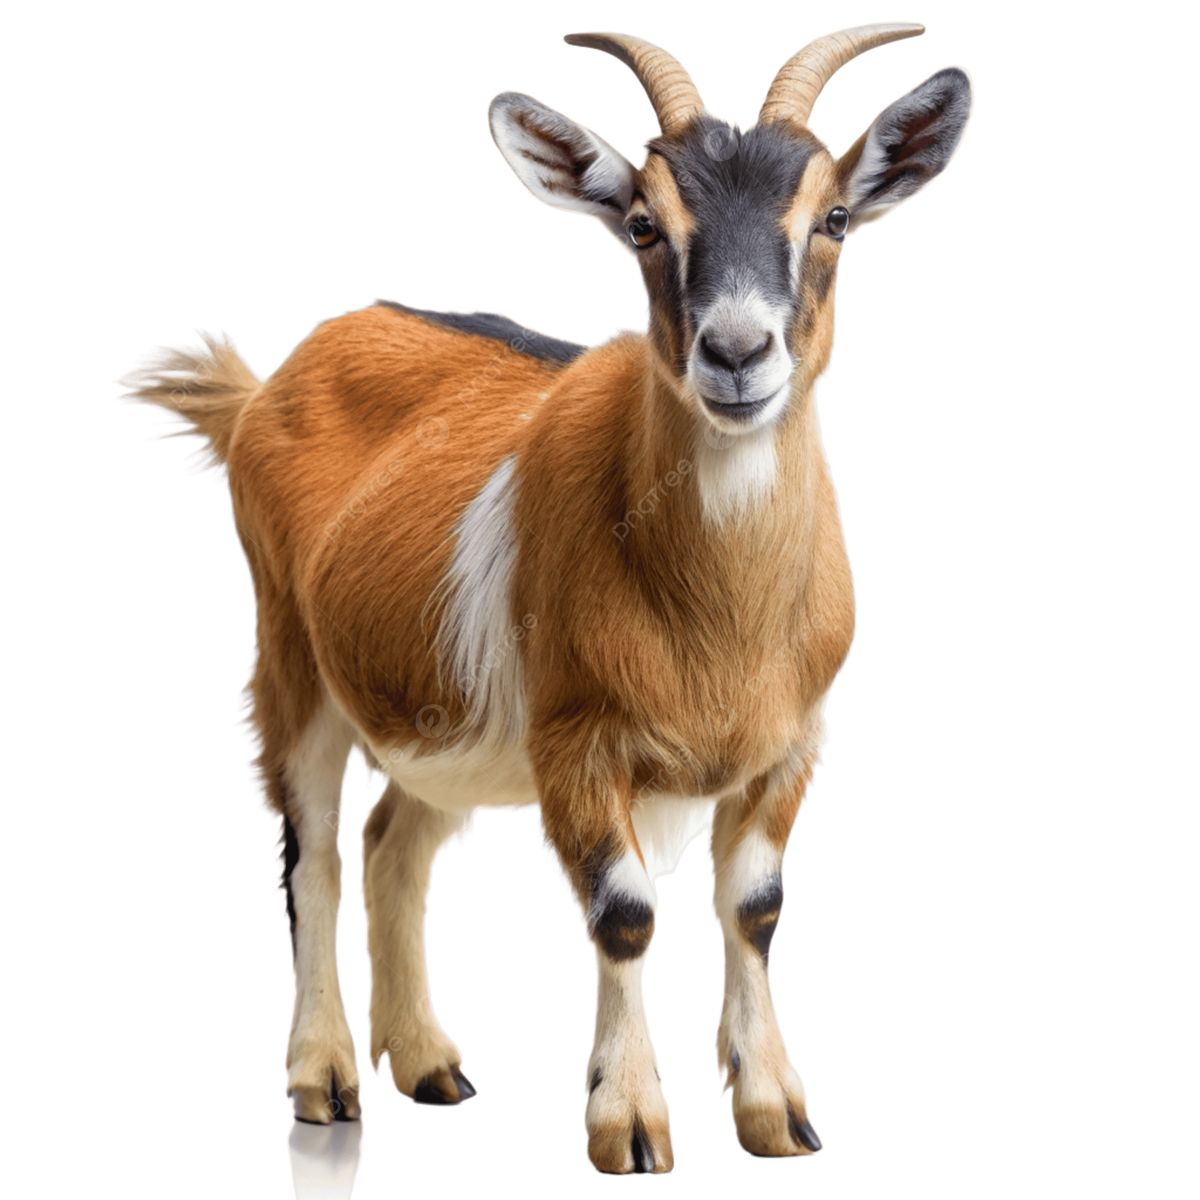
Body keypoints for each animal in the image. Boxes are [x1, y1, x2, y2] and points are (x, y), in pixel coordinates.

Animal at [129, 26, 970, 1173]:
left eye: (833, 216)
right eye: (644, 223)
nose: (736, 354)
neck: (719, 619)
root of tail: (261, 391)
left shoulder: (791, 742)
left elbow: (755, 907)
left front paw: (777, 1114)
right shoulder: (578, 741)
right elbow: (624, 913)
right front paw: (630, 1123)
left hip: (444, 721)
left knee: (393, 844)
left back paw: (429, 1063)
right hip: (290, 660)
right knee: (314, 854)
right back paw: (326, 1079)